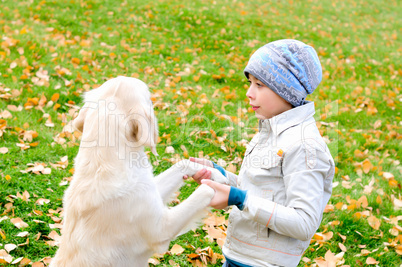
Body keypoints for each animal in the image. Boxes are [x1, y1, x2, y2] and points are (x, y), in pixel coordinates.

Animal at [48, 76, 225, 267]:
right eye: (150, 97)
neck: (102, 162)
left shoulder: (149, 190)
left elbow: (183, 163)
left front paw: (214, 173)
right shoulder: (162, 229)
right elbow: (204, 192)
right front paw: (223, 188)